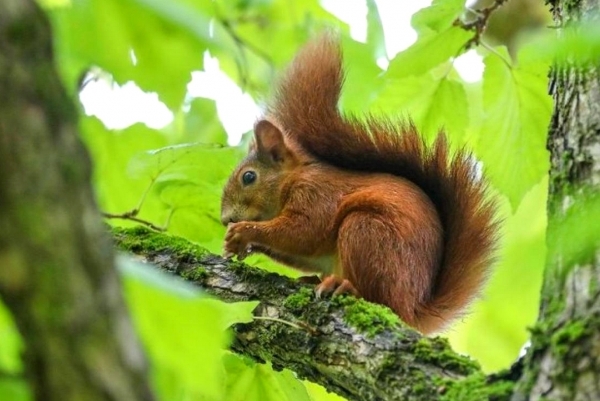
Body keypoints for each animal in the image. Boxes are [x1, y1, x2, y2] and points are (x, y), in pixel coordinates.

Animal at [218, 34, 500, 334]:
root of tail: (413, 309)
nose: (225, 219)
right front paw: (237, 244)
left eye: (249, 177)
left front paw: (245, 231)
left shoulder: (317, 194)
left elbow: (304, 231)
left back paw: (344, 287)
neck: (291, 179)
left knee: (378, 298)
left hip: (367, 233)